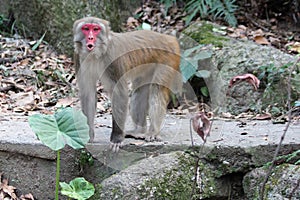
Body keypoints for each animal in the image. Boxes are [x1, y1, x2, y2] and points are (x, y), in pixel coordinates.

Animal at [73, 17, 180, 151]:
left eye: (96, 29)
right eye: (86, 28)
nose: (90, 38)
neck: (97, 54)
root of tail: (169, 38)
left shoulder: (113, 60)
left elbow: (119, 92)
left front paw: (117, 138)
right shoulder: (80, 58)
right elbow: (88, 93)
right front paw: (88, 135)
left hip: (168, 58)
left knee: (157, 90)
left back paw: (153, 132)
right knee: (140, 91)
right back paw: (139, 131)